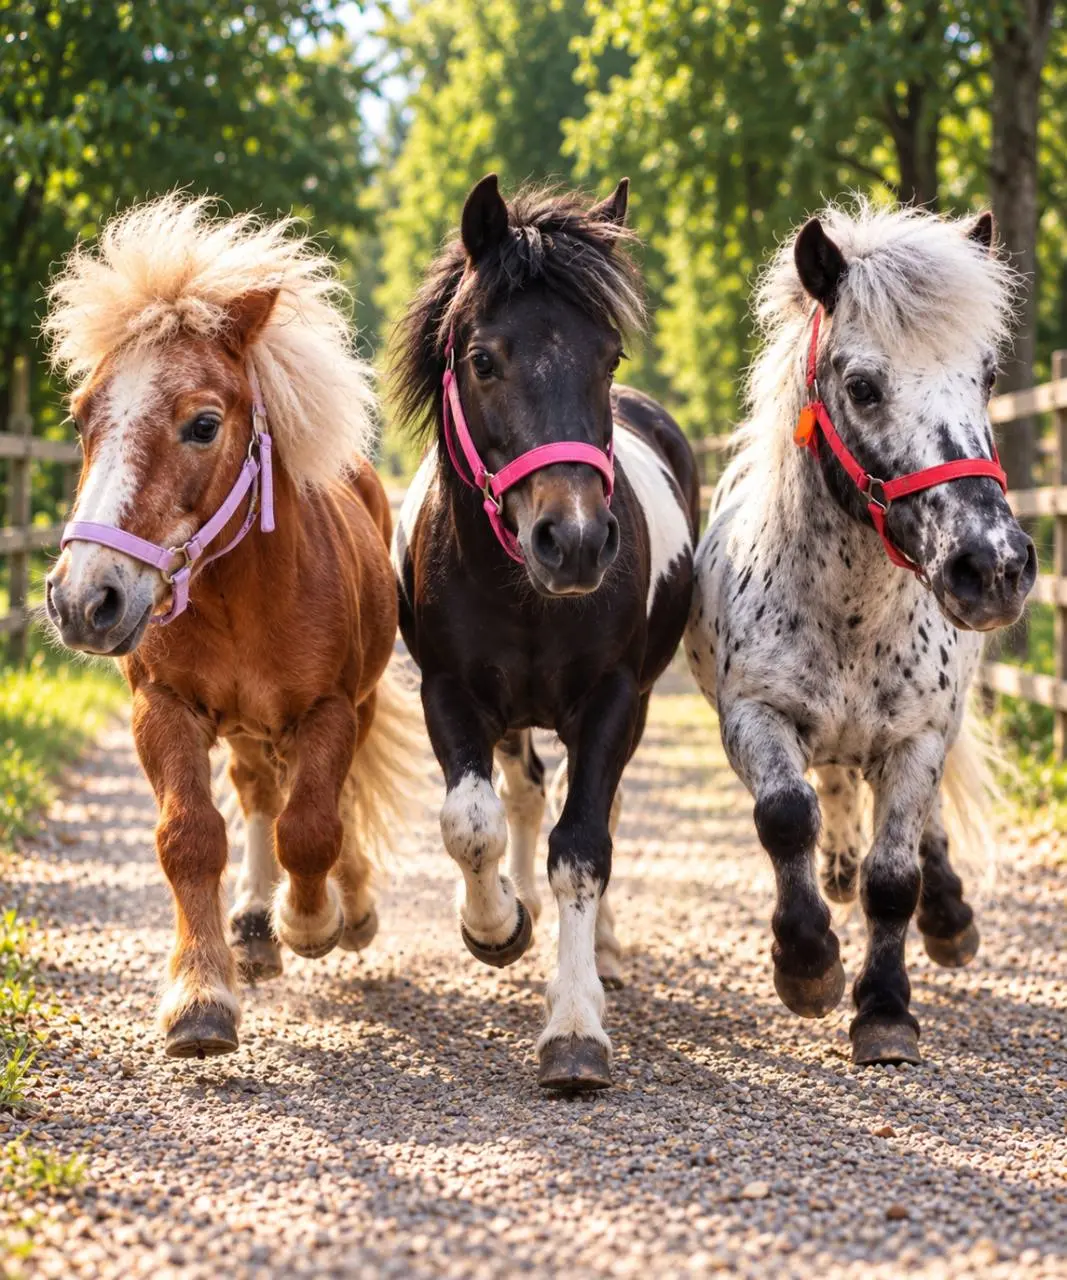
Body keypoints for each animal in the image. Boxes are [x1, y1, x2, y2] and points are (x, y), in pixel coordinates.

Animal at [43, 194, 418, 1059]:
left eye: (204, 424)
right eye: (81, 417)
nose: (83, 600)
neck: (241, 599)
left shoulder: (328, 710)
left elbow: (312, 826)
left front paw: (311, 921)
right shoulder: (164, 709)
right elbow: (191, 836)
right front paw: (201, 997)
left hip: (356, 705)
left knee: (326, 799)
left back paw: (342, 909)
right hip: (247, 726)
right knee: (253, 792)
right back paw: (250, 924)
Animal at [389, 174, 699, 1092]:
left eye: (609, 357)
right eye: (484, 359)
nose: (578, 541)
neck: (525, 594)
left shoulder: (612, 702)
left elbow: (583, 846)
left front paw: (573, 1025)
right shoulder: (448, 692)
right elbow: (472, 821)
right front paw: (495, 925)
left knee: (592, 809)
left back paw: (603, 950)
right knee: (522, 793)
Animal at [685, 203, 1035, 1066]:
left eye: (985, 376)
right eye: (862, 387)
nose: (994, 565)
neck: (850, 618)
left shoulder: (918, 736)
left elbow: (894, 877)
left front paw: (883, 1009)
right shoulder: (753, 717)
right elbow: (786, 816)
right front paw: (807, 963)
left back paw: (947, 915)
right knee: (830, 797)